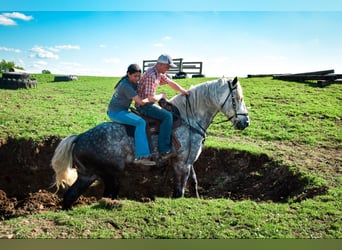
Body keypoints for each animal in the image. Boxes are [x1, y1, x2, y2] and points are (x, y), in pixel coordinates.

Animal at [50, 76, 248, 209]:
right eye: (238, 99)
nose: (245, 122)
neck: (189, 119)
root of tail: (79, 137)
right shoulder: (182, 163)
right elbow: (179, 192)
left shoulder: (186, 161)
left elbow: (194, 182)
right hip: (111, 176)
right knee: (104, 195)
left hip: (88, 175)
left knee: (69, 197)